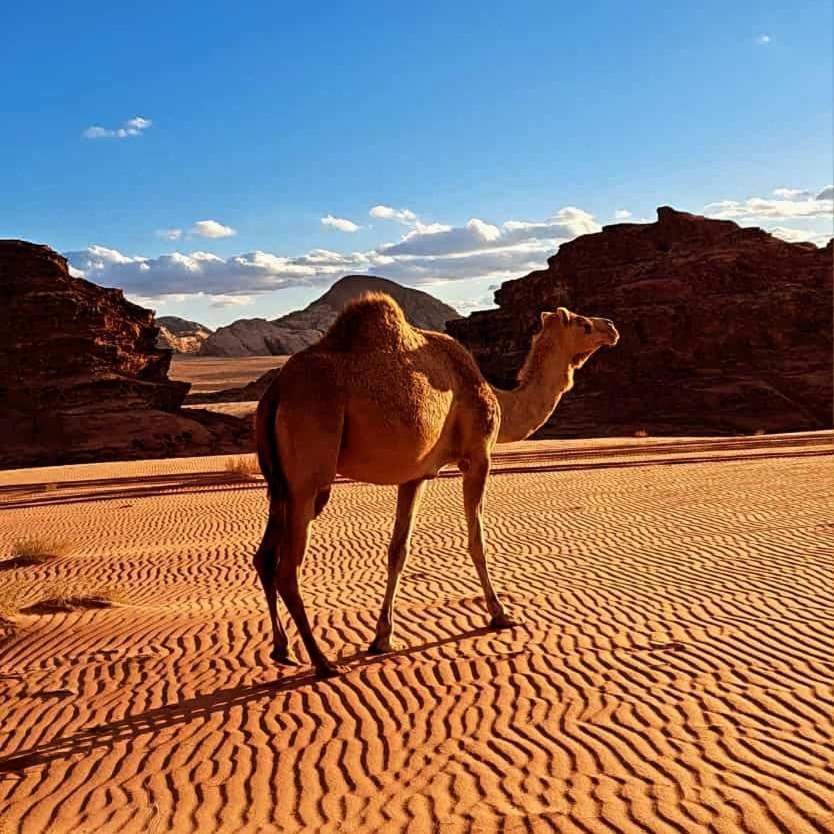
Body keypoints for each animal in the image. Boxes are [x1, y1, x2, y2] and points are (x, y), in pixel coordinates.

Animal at [254, 292, 616, 676]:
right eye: (583, 324)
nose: (611, 327)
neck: (497, 398)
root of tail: (275, 393)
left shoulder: (415, 476)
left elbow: (398, 550)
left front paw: (382, 638)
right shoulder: (478, 457)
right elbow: (477, 540)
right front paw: (500, 614)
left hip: (280, 484)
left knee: (264, 557)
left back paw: (283, 649)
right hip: (310, 473)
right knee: (287, 568)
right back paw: (323, 662)